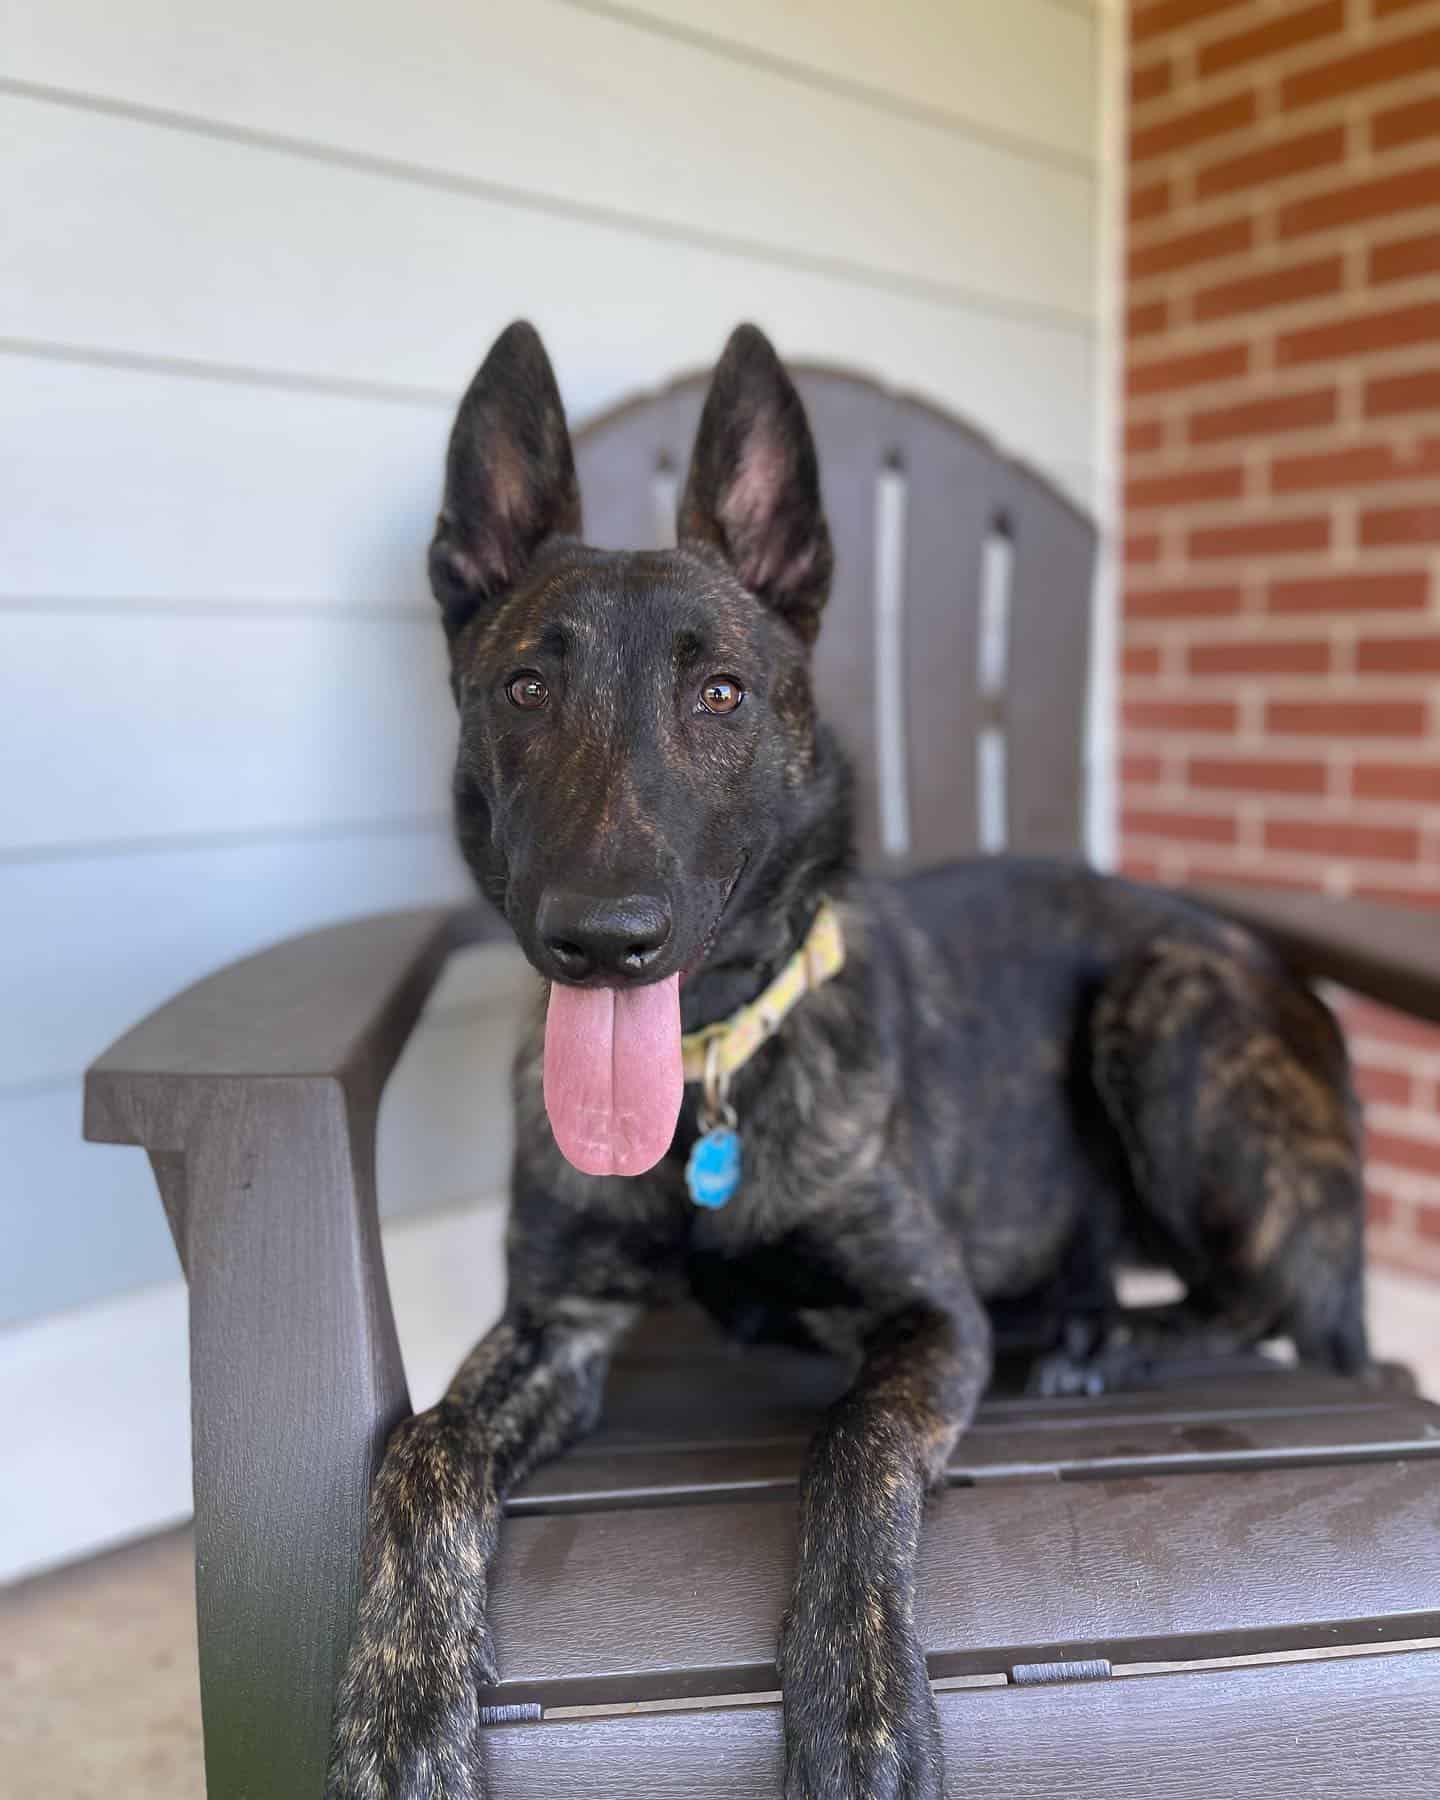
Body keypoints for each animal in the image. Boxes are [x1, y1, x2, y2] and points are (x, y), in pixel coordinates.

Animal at [329, 320, 1375, 1800]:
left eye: (721, 693)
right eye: (525, 686)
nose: (604, 940)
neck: (709, 1071)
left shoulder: (929, 1318)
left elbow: (851, 1446)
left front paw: (862, 1709)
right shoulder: (559, 1325)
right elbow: (424, 1453)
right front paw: (398, 1715)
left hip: (1166, 1016)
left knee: (1259, 1296)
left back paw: (1109, 1342)